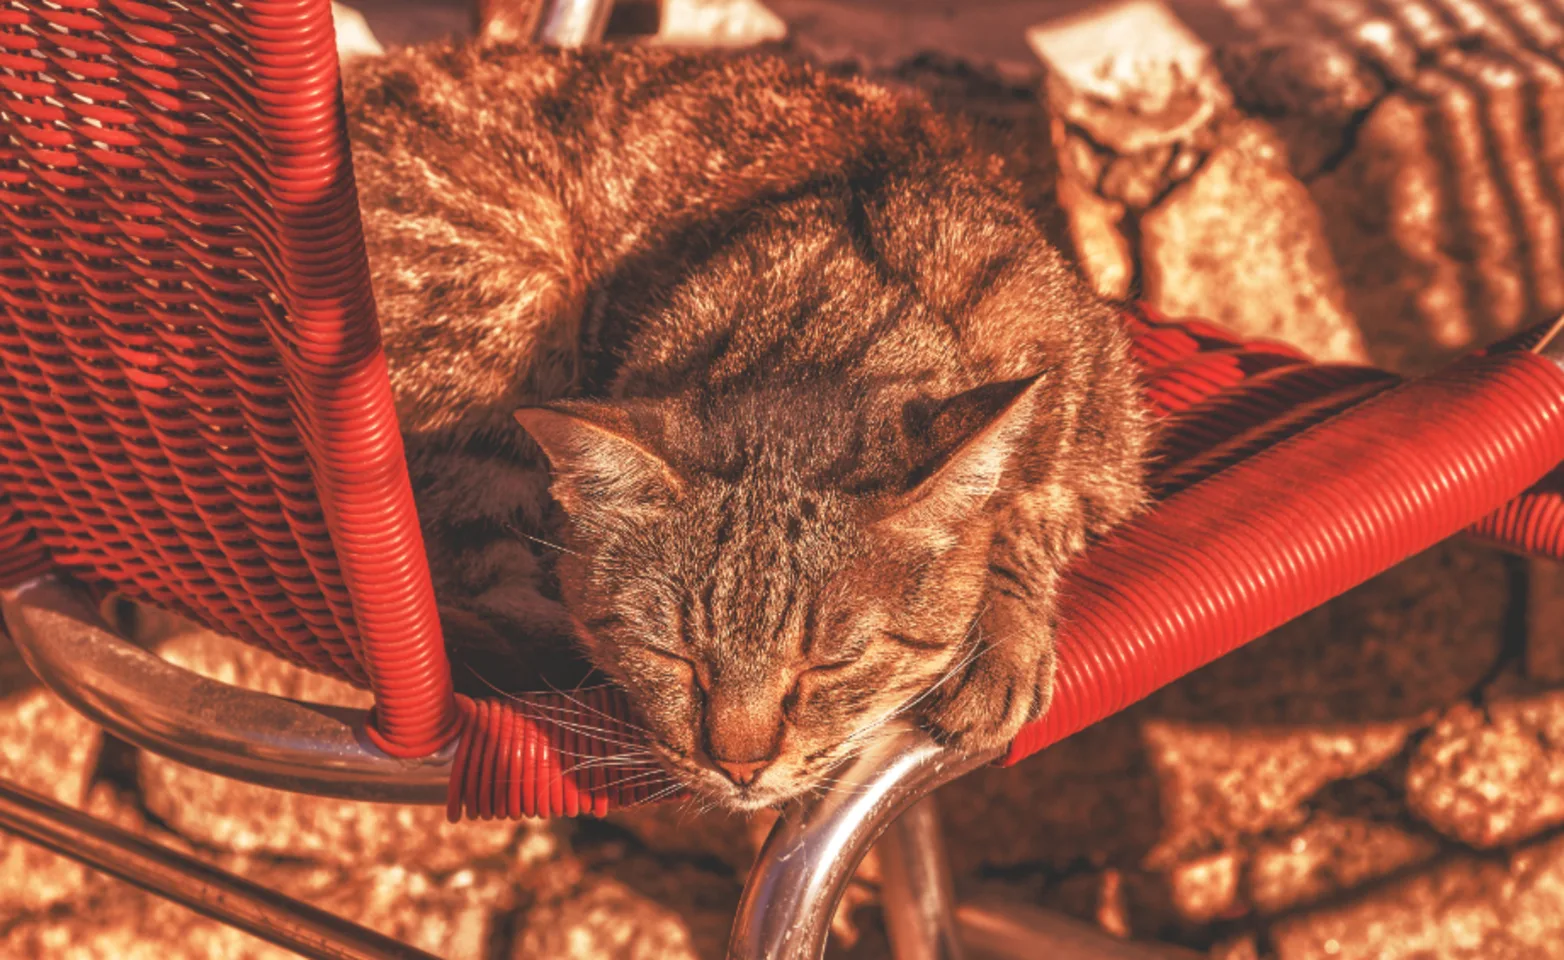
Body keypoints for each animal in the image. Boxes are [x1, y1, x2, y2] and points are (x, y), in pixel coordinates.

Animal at [345, 43, 1151, 813]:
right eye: (673, 656)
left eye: (828, 665)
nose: (738, 767)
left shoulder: (1106, 433)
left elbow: (1025, 508)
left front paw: (996, 636)